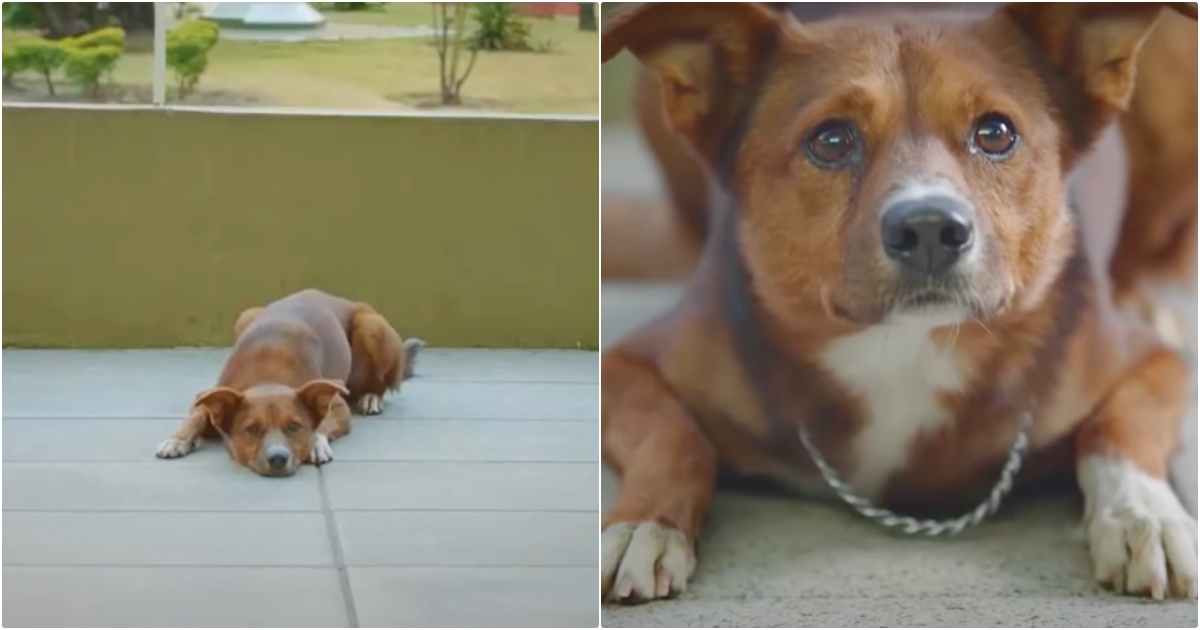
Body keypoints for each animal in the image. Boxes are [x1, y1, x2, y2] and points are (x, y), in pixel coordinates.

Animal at [156, 286, 422, 475]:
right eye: (252, 429)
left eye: (295, 427)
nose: (277, 458)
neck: (267, 377)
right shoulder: (212, 396)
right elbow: (196, 416)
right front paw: (177, 439)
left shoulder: (337, 406)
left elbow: (322, 423)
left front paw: (315, 442)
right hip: (246, 315)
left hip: (372, 327)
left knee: (380, 384)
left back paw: (371, 397)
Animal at [604, 3, 1195, 604]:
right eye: (831, 141)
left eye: (996, 132)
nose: (931, 229)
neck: (905, 349)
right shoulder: (626, 364)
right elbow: (676, 438)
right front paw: (642, 525)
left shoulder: (1154, 363)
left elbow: (1117, 429)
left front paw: (1143, 515)